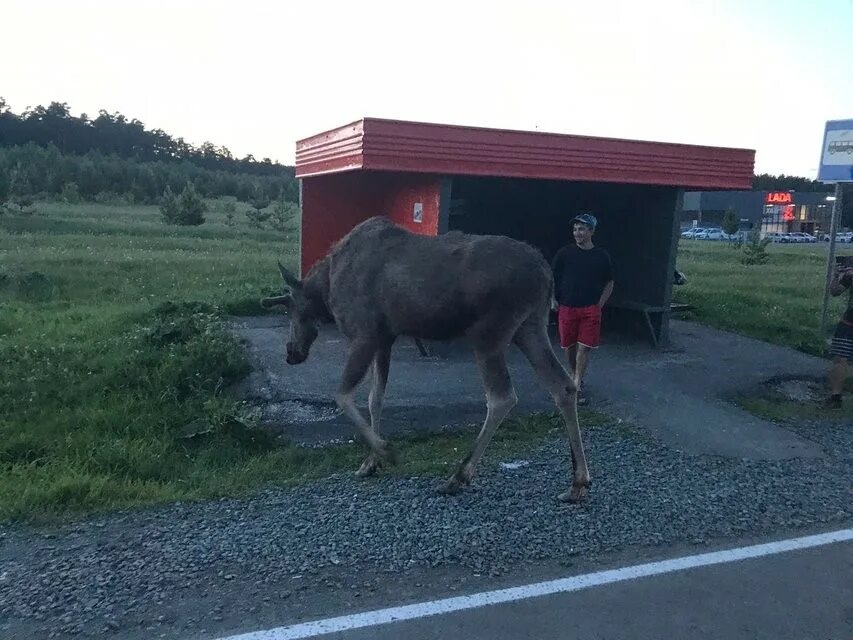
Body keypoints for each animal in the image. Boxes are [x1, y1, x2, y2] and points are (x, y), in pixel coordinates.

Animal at [262, 218, 588, 502]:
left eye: (291, 308)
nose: (291, 352)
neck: (327, 287)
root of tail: (546, 273)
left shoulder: (364, 333)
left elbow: (342, 396)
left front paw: (386, 452)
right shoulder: (385, 338)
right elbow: (374, 398)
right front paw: (370, 462)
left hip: (490, 332)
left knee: (502, 397)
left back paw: (459, 475)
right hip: (530, 327)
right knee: (562, 386)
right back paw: (578, 482)